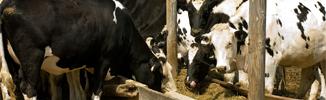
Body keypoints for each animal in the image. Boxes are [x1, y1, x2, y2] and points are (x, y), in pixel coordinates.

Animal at [0, 0, 166, 99]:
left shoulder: (83, 62)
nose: (160, 91)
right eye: (159, 74)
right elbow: (96, 90)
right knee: (29, 89)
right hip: (32, 57)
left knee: (10, 84)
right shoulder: (104, 60)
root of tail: (8, 3)